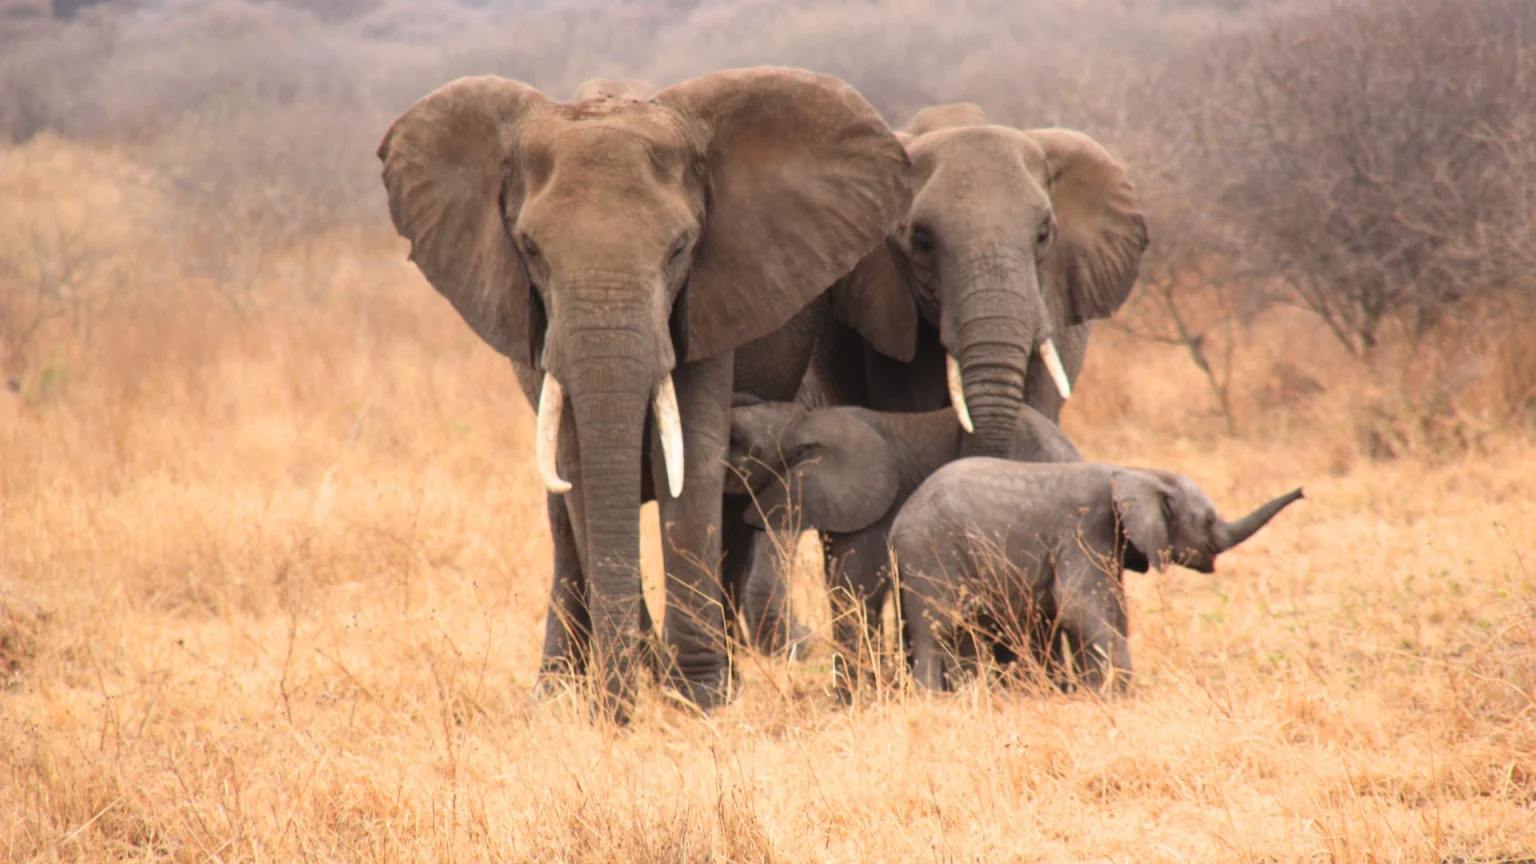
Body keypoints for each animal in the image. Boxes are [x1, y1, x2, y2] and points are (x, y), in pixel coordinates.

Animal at [376, 68, 909, 719]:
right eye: (530, 248)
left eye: (680, 246)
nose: (621, 706)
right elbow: (579, 468)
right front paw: (633, 694)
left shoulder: (710, 295)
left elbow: (695, 463)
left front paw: (699, 700)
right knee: (561, 519)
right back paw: (555, 692)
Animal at [890, 458, 1308, 691]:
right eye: (1207, 520)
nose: (1303, 491)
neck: (1138, 471)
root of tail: (895, 526)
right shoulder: (1086, 528)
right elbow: (1077, 606)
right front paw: (1118, 692)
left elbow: (1103, 609)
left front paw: (1093, 692)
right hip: (929, 552)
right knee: (938, 627)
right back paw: (934, 699)